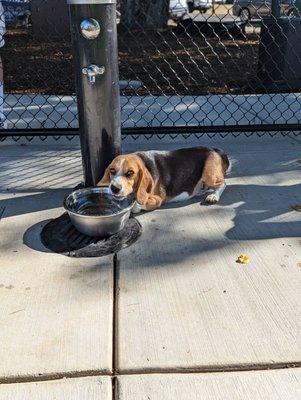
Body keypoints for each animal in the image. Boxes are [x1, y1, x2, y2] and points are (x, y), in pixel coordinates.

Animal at [97, 146, 229, 212]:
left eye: (130, 173)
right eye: (112, 171)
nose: (114, 188)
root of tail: (215, 150)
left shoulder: (157, 200)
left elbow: (137, 205)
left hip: (209, 175)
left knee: (223, 183)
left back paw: (213, 196)